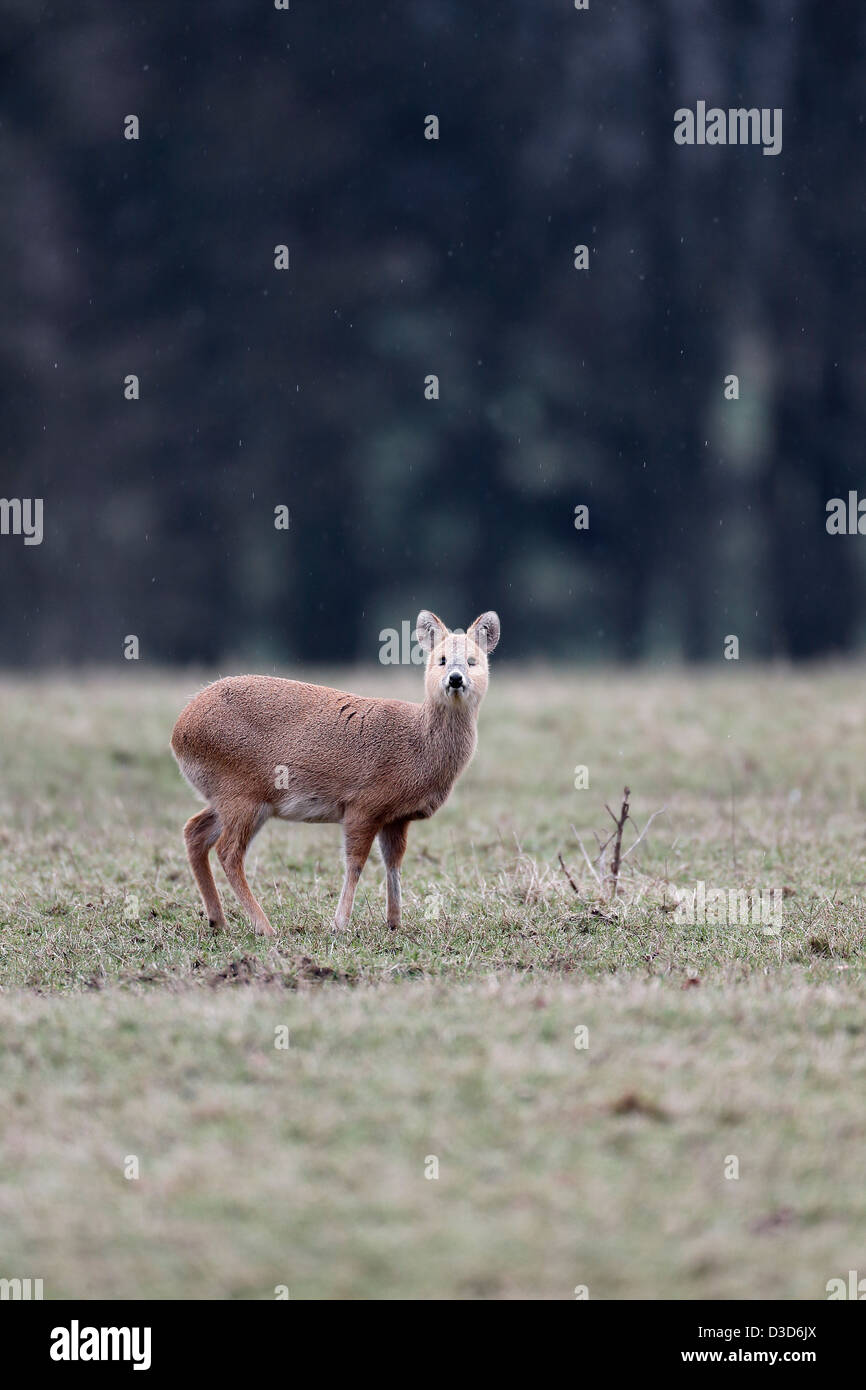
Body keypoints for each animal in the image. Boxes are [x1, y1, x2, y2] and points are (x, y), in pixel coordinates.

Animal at [169, 606, 500, 934]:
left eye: (473, 661)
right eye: (440, 659)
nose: (455, 678)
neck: (418, 743)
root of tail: (179, 731)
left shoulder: (397, 816)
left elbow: (393, 862)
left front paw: (394, 922)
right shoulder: (363, 804)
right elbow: (355, 862)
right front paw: (340, 924)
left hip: (229, 796)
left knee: (194, 831)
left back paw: (218, 920)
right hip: (241, 792)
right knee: (228, 852)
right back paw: (265, 927)